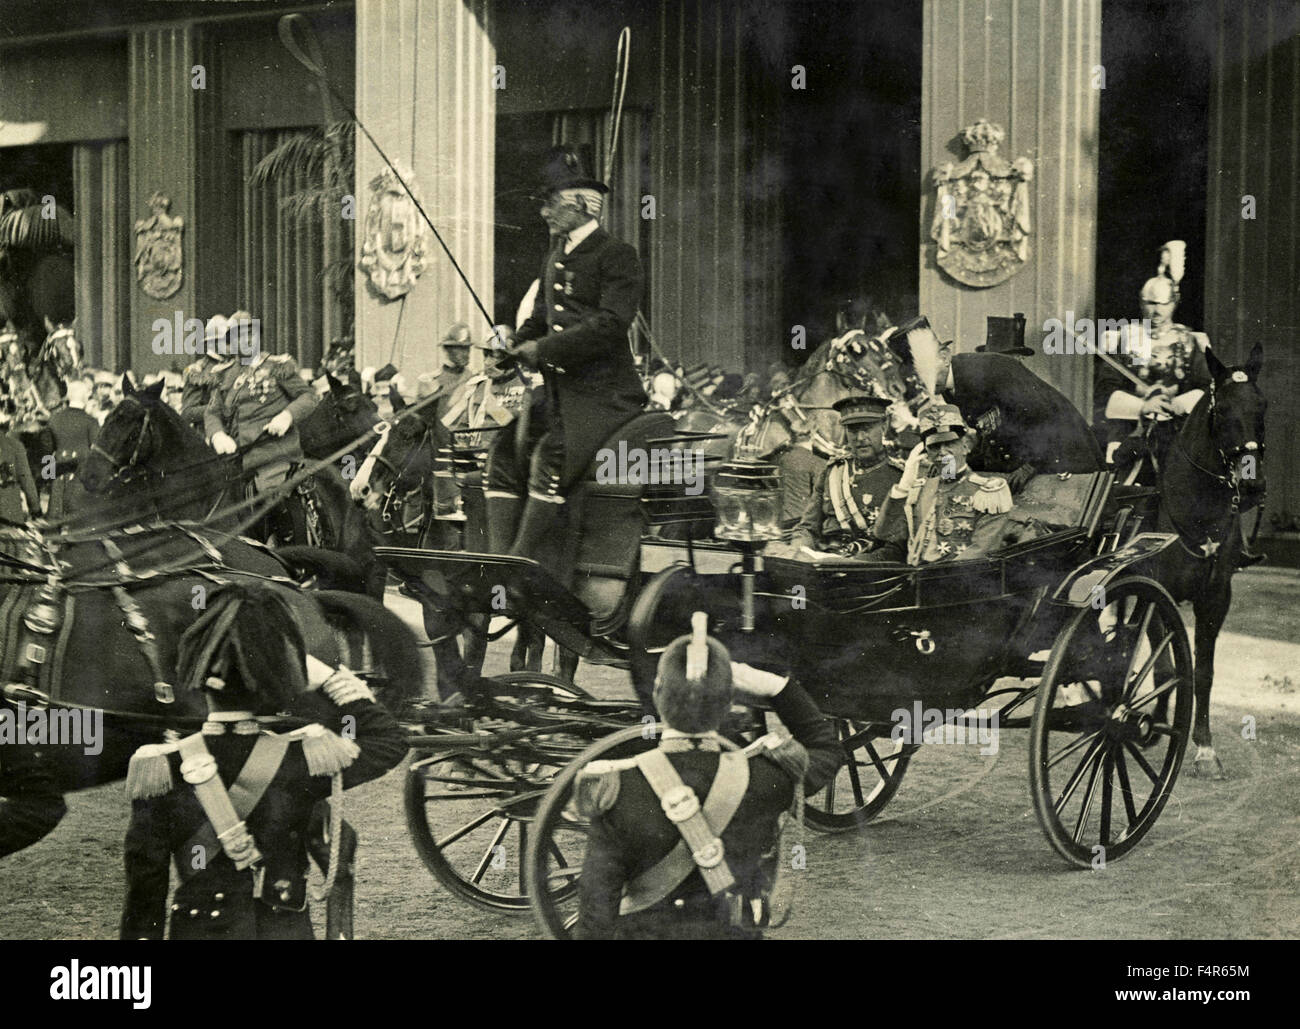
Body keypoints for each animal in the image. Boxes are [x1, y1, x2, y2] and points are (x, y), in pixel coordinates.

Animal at [1154, 340, 1263, 774]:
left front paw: (1203, 747)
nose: (1252, 486)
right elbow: (1165, 665)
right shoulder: (1154, 588)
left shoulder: (1215, 596)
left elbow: (1202, 672)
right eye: (1224, 411)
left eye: (1262, 406)